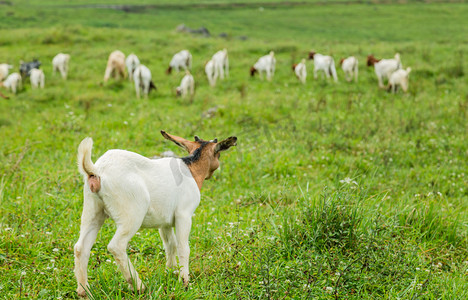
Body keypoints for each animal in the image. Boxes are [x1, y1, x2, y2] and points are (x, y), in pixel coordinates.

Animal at [76, 130, 238, 296]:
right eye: (218, 155)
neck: (191, 169)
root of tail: (97, 171)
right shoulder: (184, 215)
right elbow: (183, 247)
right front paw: (184, 281)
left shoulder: (164, 222)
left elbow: (170, 244)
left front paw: (171, 271)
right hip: (131, 213)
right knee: (116, 246)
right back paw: (138, 286)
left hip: (92, 209)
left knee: (81, 247)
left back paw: (84, 291)